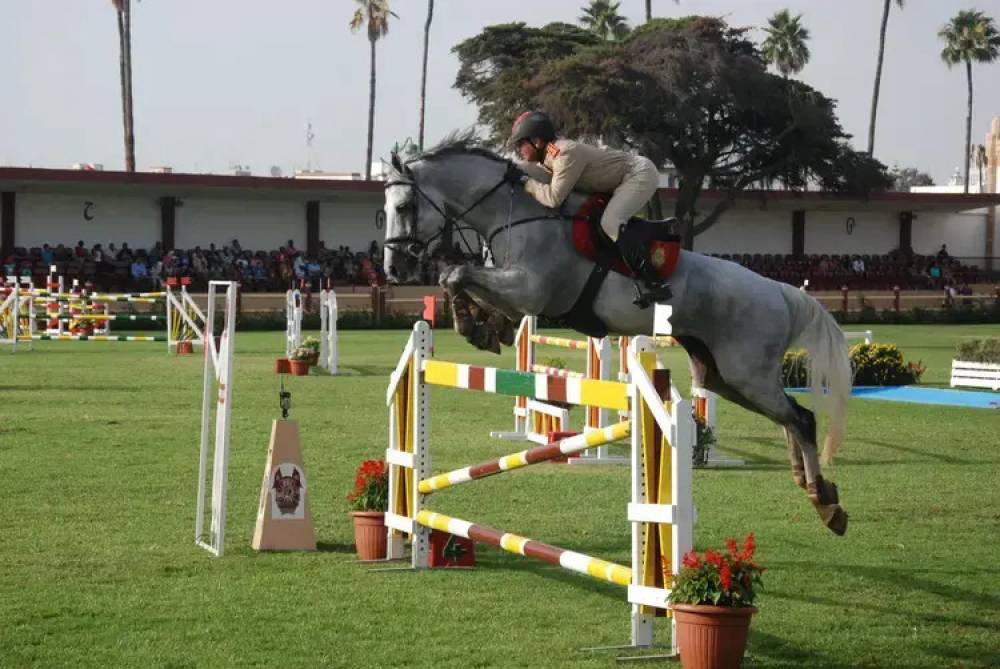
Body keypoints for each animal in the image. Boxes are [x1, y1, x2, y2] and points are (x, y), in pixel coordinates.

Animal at [382, 138, 852, 536]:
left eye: (403, 206)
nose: (394, 269)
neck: (515, 213)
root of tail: (780, 292)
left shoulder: (530, 290)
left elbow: (456, 272)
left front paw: (474, 324)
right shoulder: (517, 296)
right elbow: (460, 280)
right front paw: (480, 326)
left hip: (746, 373)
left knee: (801, 418)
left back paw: (826, 504)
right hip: (721, 376)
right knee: (788, 417)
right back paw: (813, 487)